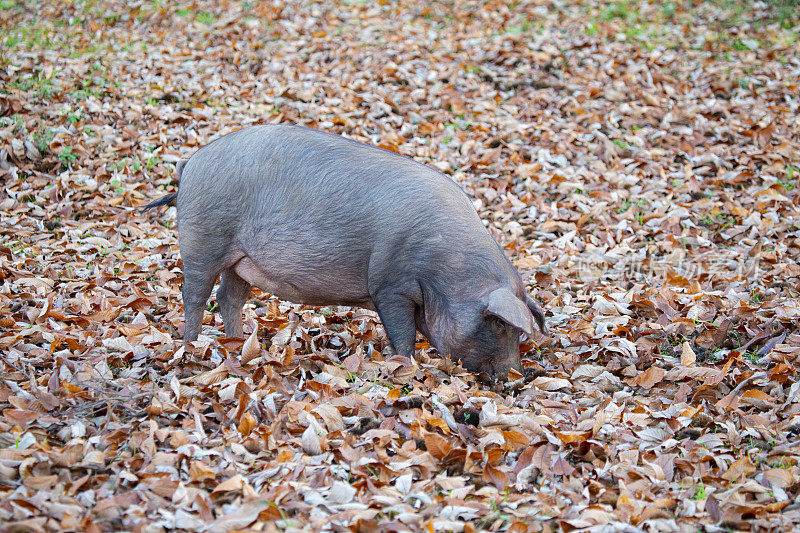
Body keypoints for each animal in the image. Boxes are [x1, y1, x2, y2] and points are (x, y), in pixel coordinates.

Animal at [144, 123, 544, 378]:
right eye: (499, 324)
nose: (516, 377)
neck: (446, 272)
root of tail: (190, 164)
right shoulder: (391, 287)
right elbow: (402, 335)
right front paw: (406, 368)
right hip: (203, 240)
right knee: (194, 294)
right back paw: (192, 347)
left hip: (240, 259)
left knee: (229, 298)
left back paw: (240, 344)